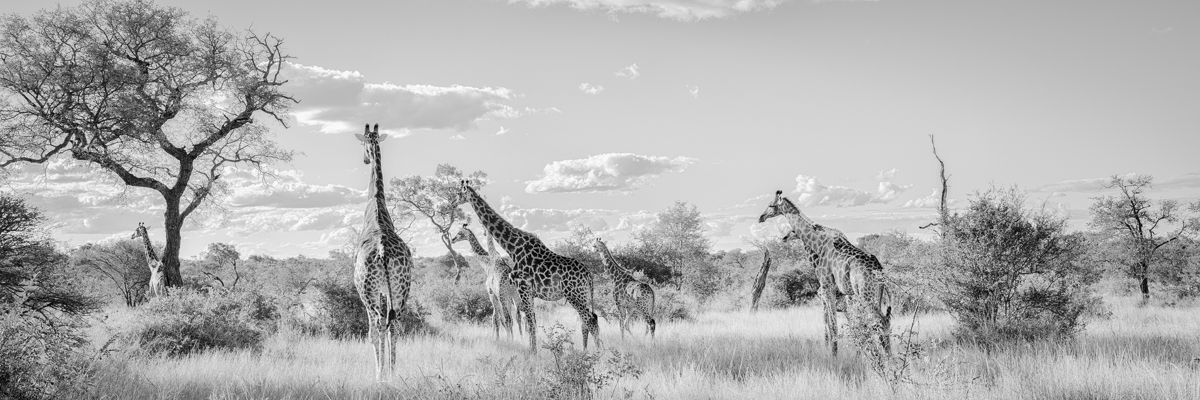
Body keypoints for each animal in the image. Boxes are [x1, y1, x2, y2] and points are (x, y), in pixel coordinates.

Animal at [350, 123, 417, 379]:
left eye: (361, 144)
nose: (365, 159)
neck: (376, 201)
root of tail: (382, 252)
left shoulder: (374, 291)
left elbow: (372, 331)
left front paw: (378, 372)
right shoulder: (387, 290)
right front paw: (388, 370)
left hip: (366, 290)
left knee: (377, 324)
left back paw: (380, 375)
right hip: (401, 287)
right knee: (394, 323)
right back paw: (392, 372)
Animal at [451, 180, 600, 353]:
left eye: (458, 193)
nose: (452, 203)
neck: (513, 247)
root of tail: (589, 275)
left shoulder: (522, 287)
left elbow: (528, 322)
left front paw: (533, 353)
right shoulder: (528, 292)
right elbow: (531, 321)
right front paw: (532, 349)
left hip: (575, 295)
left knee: (589, 320)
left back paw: (599, 353)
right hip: (583, 296)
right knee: (590, 320)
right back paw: (589, 351)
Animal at [758, 189, 892, 355]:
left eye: (771, 205)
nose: (761, 217)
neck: (818, 244)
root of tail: (878, 269)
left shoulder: (827, 288)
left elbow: (833, 327)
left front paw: (834, 357)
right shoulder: (834, 293)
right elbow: (838, 327)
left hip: (864, 294)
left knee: (878, 322)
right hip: (875, 294)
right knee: (882, 322)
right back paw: (887, 357)